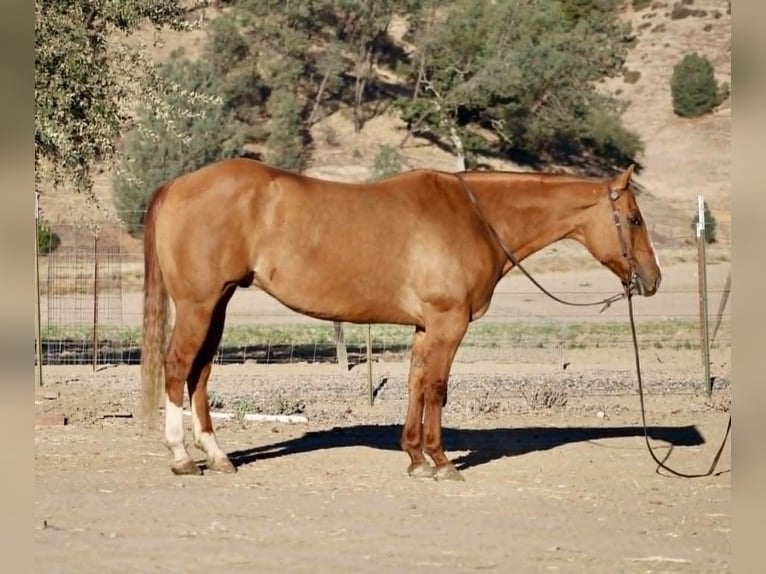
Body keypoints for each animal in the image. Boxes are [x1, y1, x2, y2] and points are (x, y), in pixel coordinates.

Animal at [140, 158, 661, 480]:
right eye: (635, 219)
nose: (652, 279)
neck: (475, 217)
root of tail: (179, 185)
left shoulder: (426, 327)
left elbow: (415, 383)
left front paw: (415, 457)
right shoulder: (450, 323)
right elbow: (437, 388)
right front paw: (441, 460)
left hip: (218, 304)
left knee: (200, 374)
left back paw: (218, 456)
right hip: (199, 305)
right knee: (178, 368)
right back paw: (182, 457)